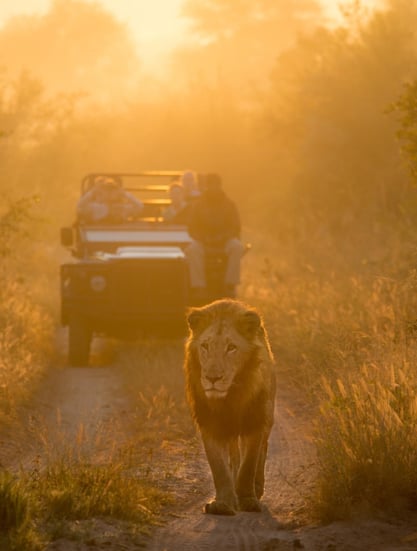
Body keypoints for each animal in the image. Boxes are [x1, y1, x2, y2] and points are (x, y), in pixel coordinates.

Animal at [184, 300, 274, 516]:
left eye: (231, 348)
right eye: (205, 346)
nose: (212, 378)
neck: (229, 399)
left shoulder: (255, 422)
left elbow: (249, 465)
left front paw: (248, 500)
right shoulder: (209, 424)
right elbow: (219, 468)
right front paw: (223, 504)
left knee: (262, 452)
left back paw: (257, 488)